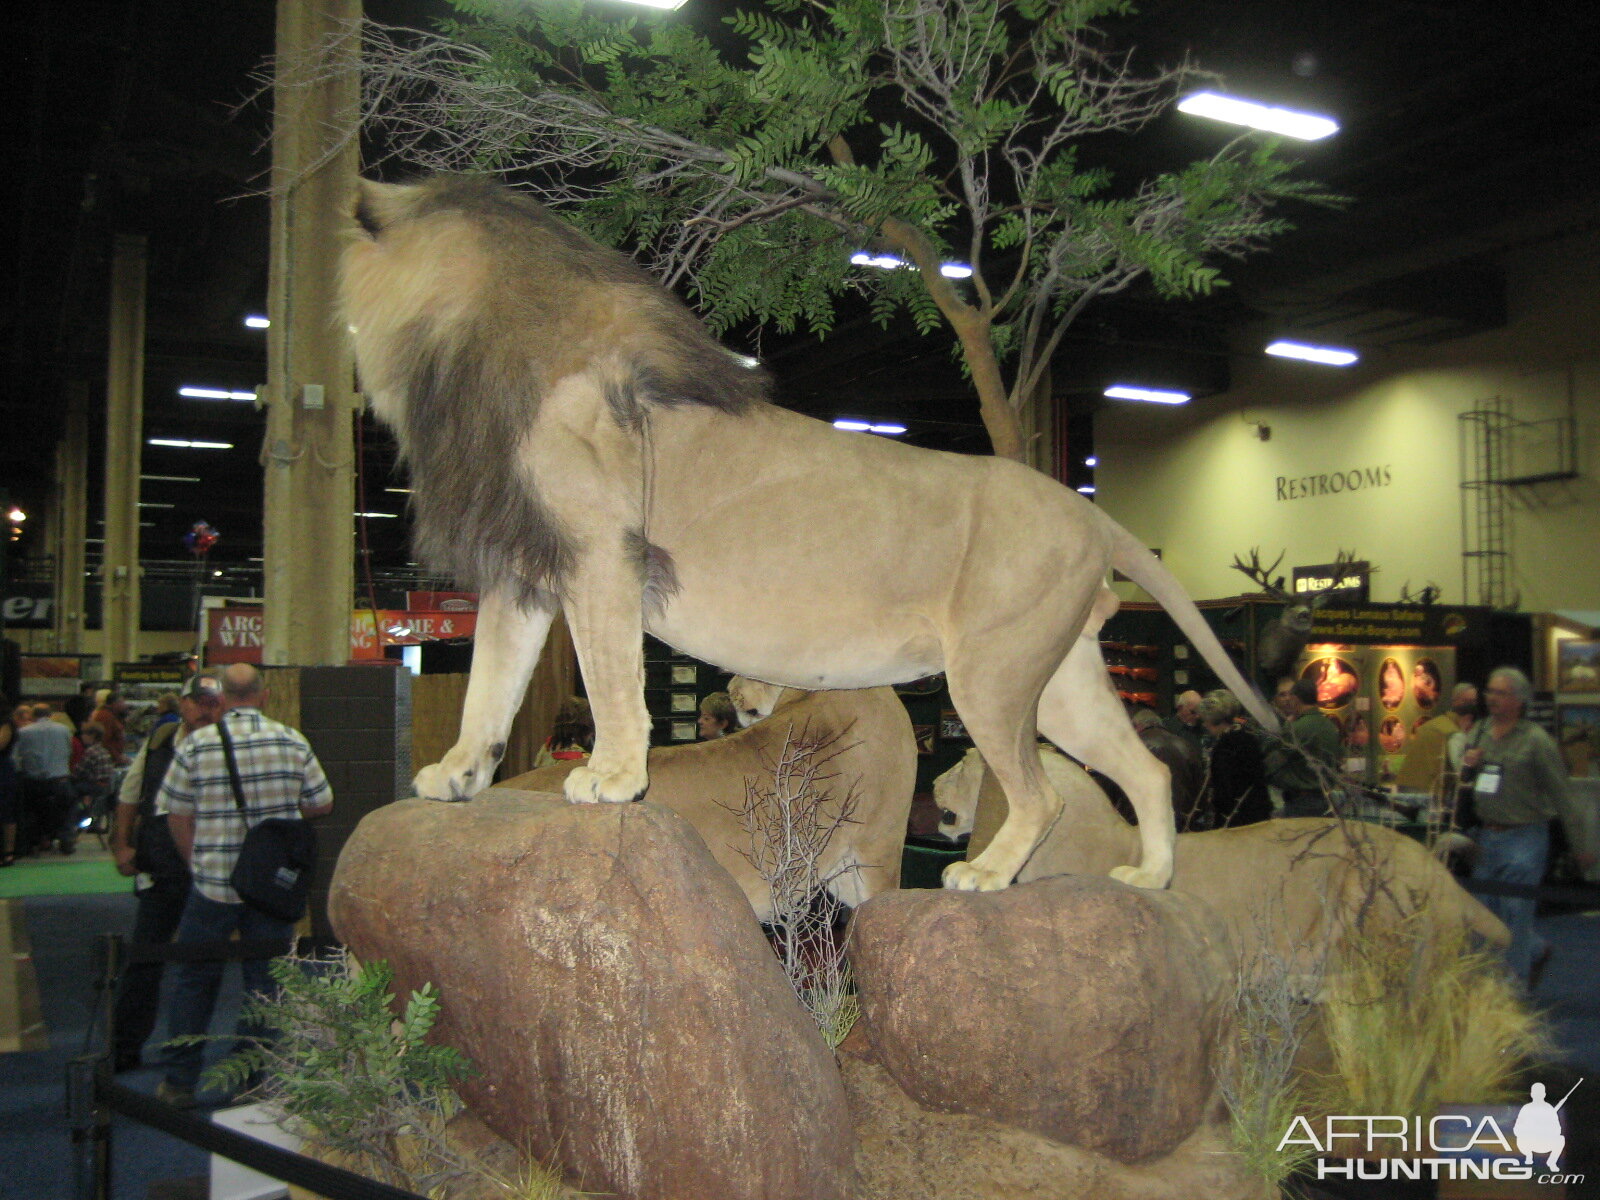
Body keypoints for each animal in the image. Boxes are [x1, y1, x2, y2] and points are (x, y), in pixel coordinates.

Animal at [340, 173, 1273, 896]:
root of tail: (1088, 508)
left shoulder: (601, 555)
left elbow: (608, 681)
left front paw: (611, 778)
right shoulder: (523, 565)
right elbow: (489, 684)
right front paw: (460, 774)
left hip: (991, 678)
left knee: (1042, 794)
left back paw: (983, 876)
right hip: (1057, 677)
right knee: (1146, 768)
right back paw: (1151, 877)